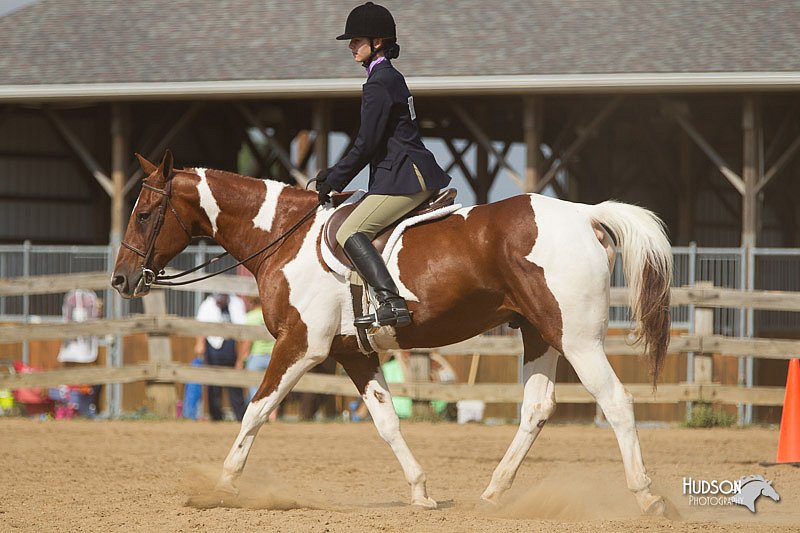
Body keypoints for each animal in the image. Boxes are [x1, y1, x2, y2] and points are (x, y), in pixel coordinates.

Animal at [111, 151, 676, 516]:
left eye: (144, 213)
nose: (120, 280)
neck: (283, 238)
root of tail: (587, 215)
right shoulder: (353, 354)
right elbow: (386, 423)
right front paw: (421, 492)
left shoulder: (300, 344)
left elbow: (256, 409)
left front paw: (222, 486)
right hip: (538, 334)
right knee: (536, 410)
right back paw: (493, 494)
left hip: (577, 339)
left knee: (617, 402)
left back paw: (647, 495)